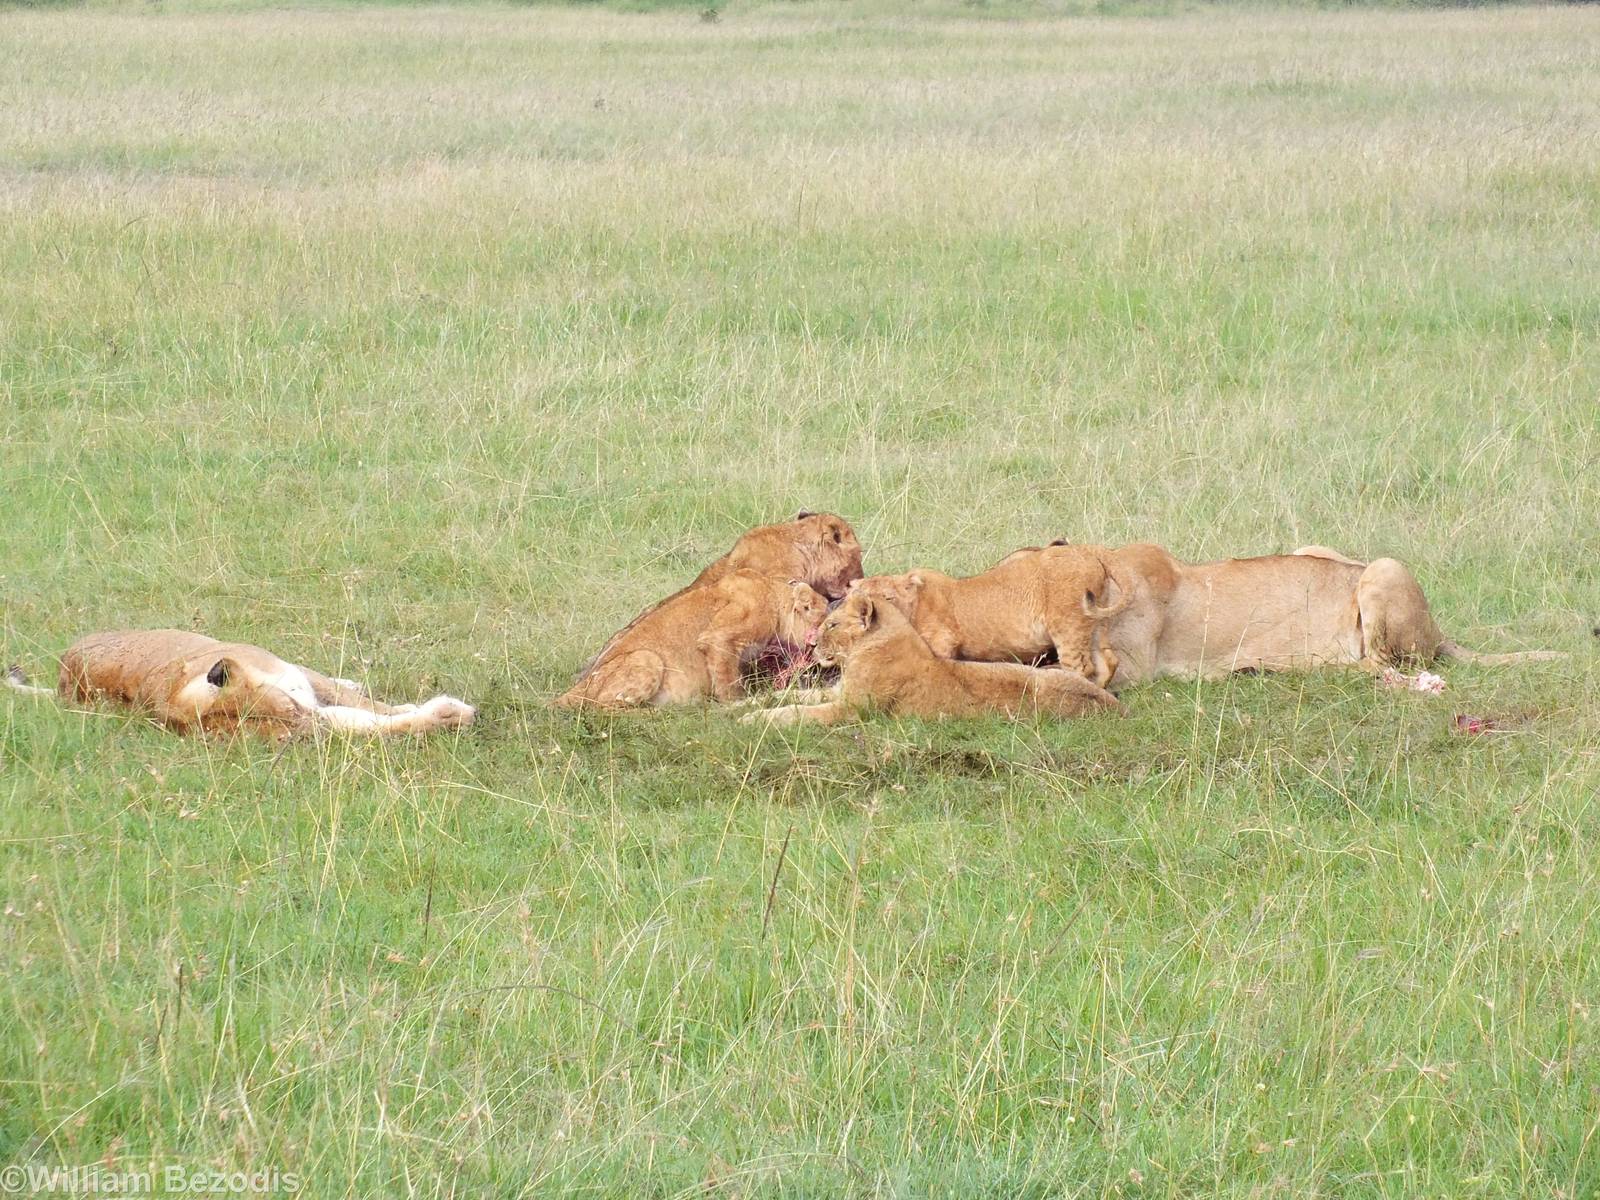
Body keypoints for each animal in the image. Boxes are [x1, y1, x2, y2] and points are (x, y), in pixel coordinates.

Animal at [557, 571, 829, 709]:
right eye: (827, 622)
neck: (774, 590)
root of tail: (570, 691)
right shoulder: (721, 634)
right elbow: (728, 683)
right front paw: (736, 706)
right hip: (647, 657)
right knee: (601, 710)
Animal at [743, 589, 1123, 727]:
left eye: (832, 625)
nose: (812, 647)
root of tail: (1116, 708)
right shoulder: (839, 691)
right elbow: (791, 695)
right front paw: (742, 705)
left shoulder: (852, 709)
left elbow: (799, 711)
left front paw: (752, 719)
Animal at [850, 543, 1128, 687]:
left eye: (888, 598)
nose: (873, 612)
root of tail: (1091, 552)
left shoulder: (943, 642)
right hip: (1095, 622)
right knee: (1108, 661)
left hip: (1067, 623)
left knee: (1081, 667)